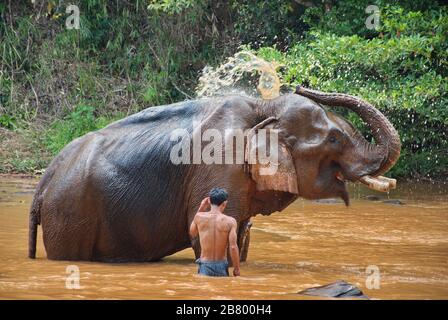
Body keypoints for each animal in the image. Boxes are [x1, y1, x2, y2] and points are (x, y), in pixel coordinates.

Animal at [28, 85, 400, 262]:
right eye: (334, 139)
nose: (300, 85)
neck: (263, 107)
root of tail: (42, 183)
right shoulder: (219, 165)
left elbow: (241, 235)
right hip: (70, 215)